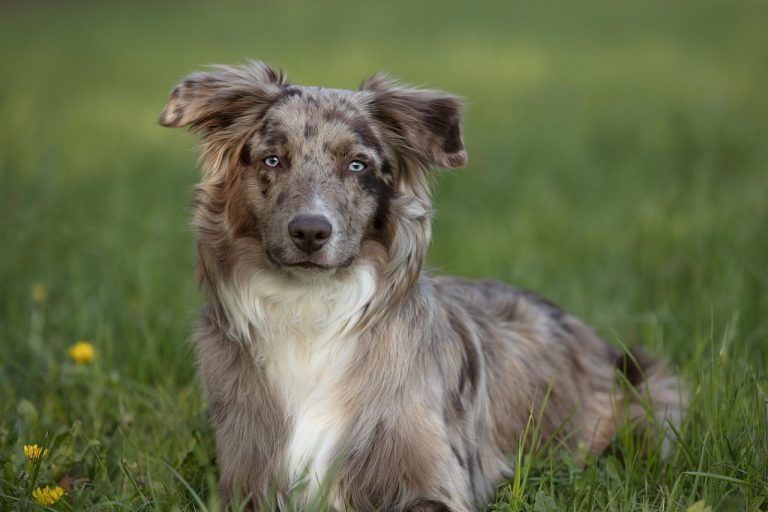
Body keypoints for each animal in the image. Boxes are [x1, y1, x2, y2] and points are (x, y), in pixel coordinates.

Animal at [159, 62, 688, 510]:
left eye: (357, 165)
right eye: (272, 160)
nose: (310, 231)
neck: (311, 312)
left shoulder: (434, 477)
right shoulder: (245, 479)